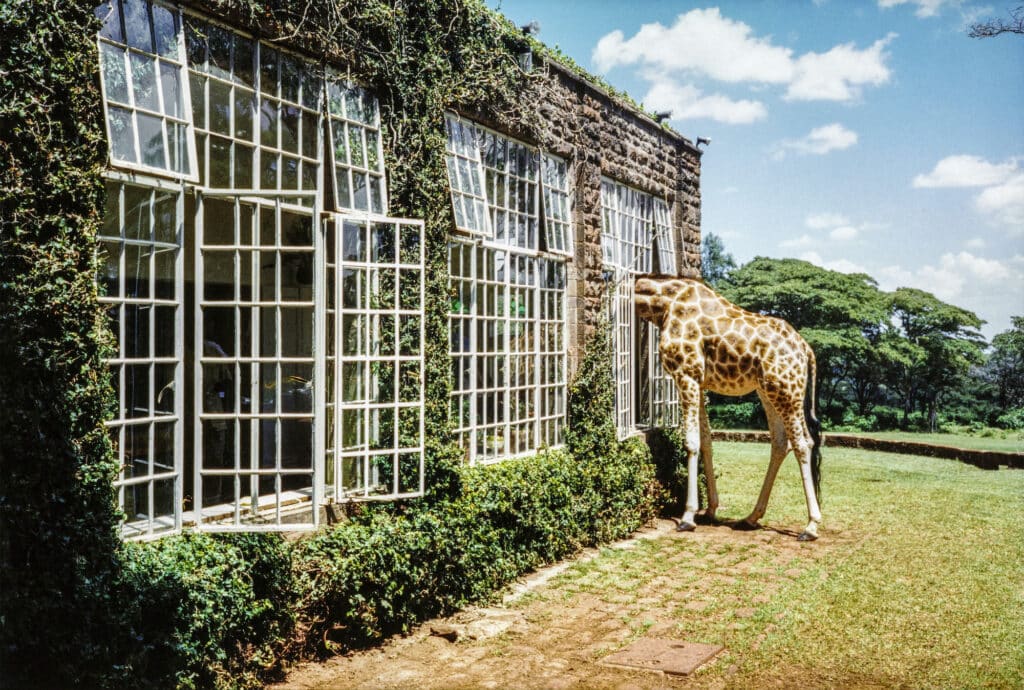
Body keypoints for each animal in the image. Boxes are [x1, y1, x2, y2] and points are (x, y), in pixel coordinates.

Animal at [630, 272, 823, 536]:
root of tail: (806, 350)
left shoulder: (686, 374)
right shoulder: (699, 382)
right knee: (783, 443)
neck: (664, 305)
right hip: (771, 391)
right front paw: (710, 509)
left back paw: (811, 526)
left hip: (786, 391)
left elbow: (691, 442)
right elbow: (706, 442)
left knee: (802, 444)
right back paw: (751, 518)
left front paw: (688, 517)